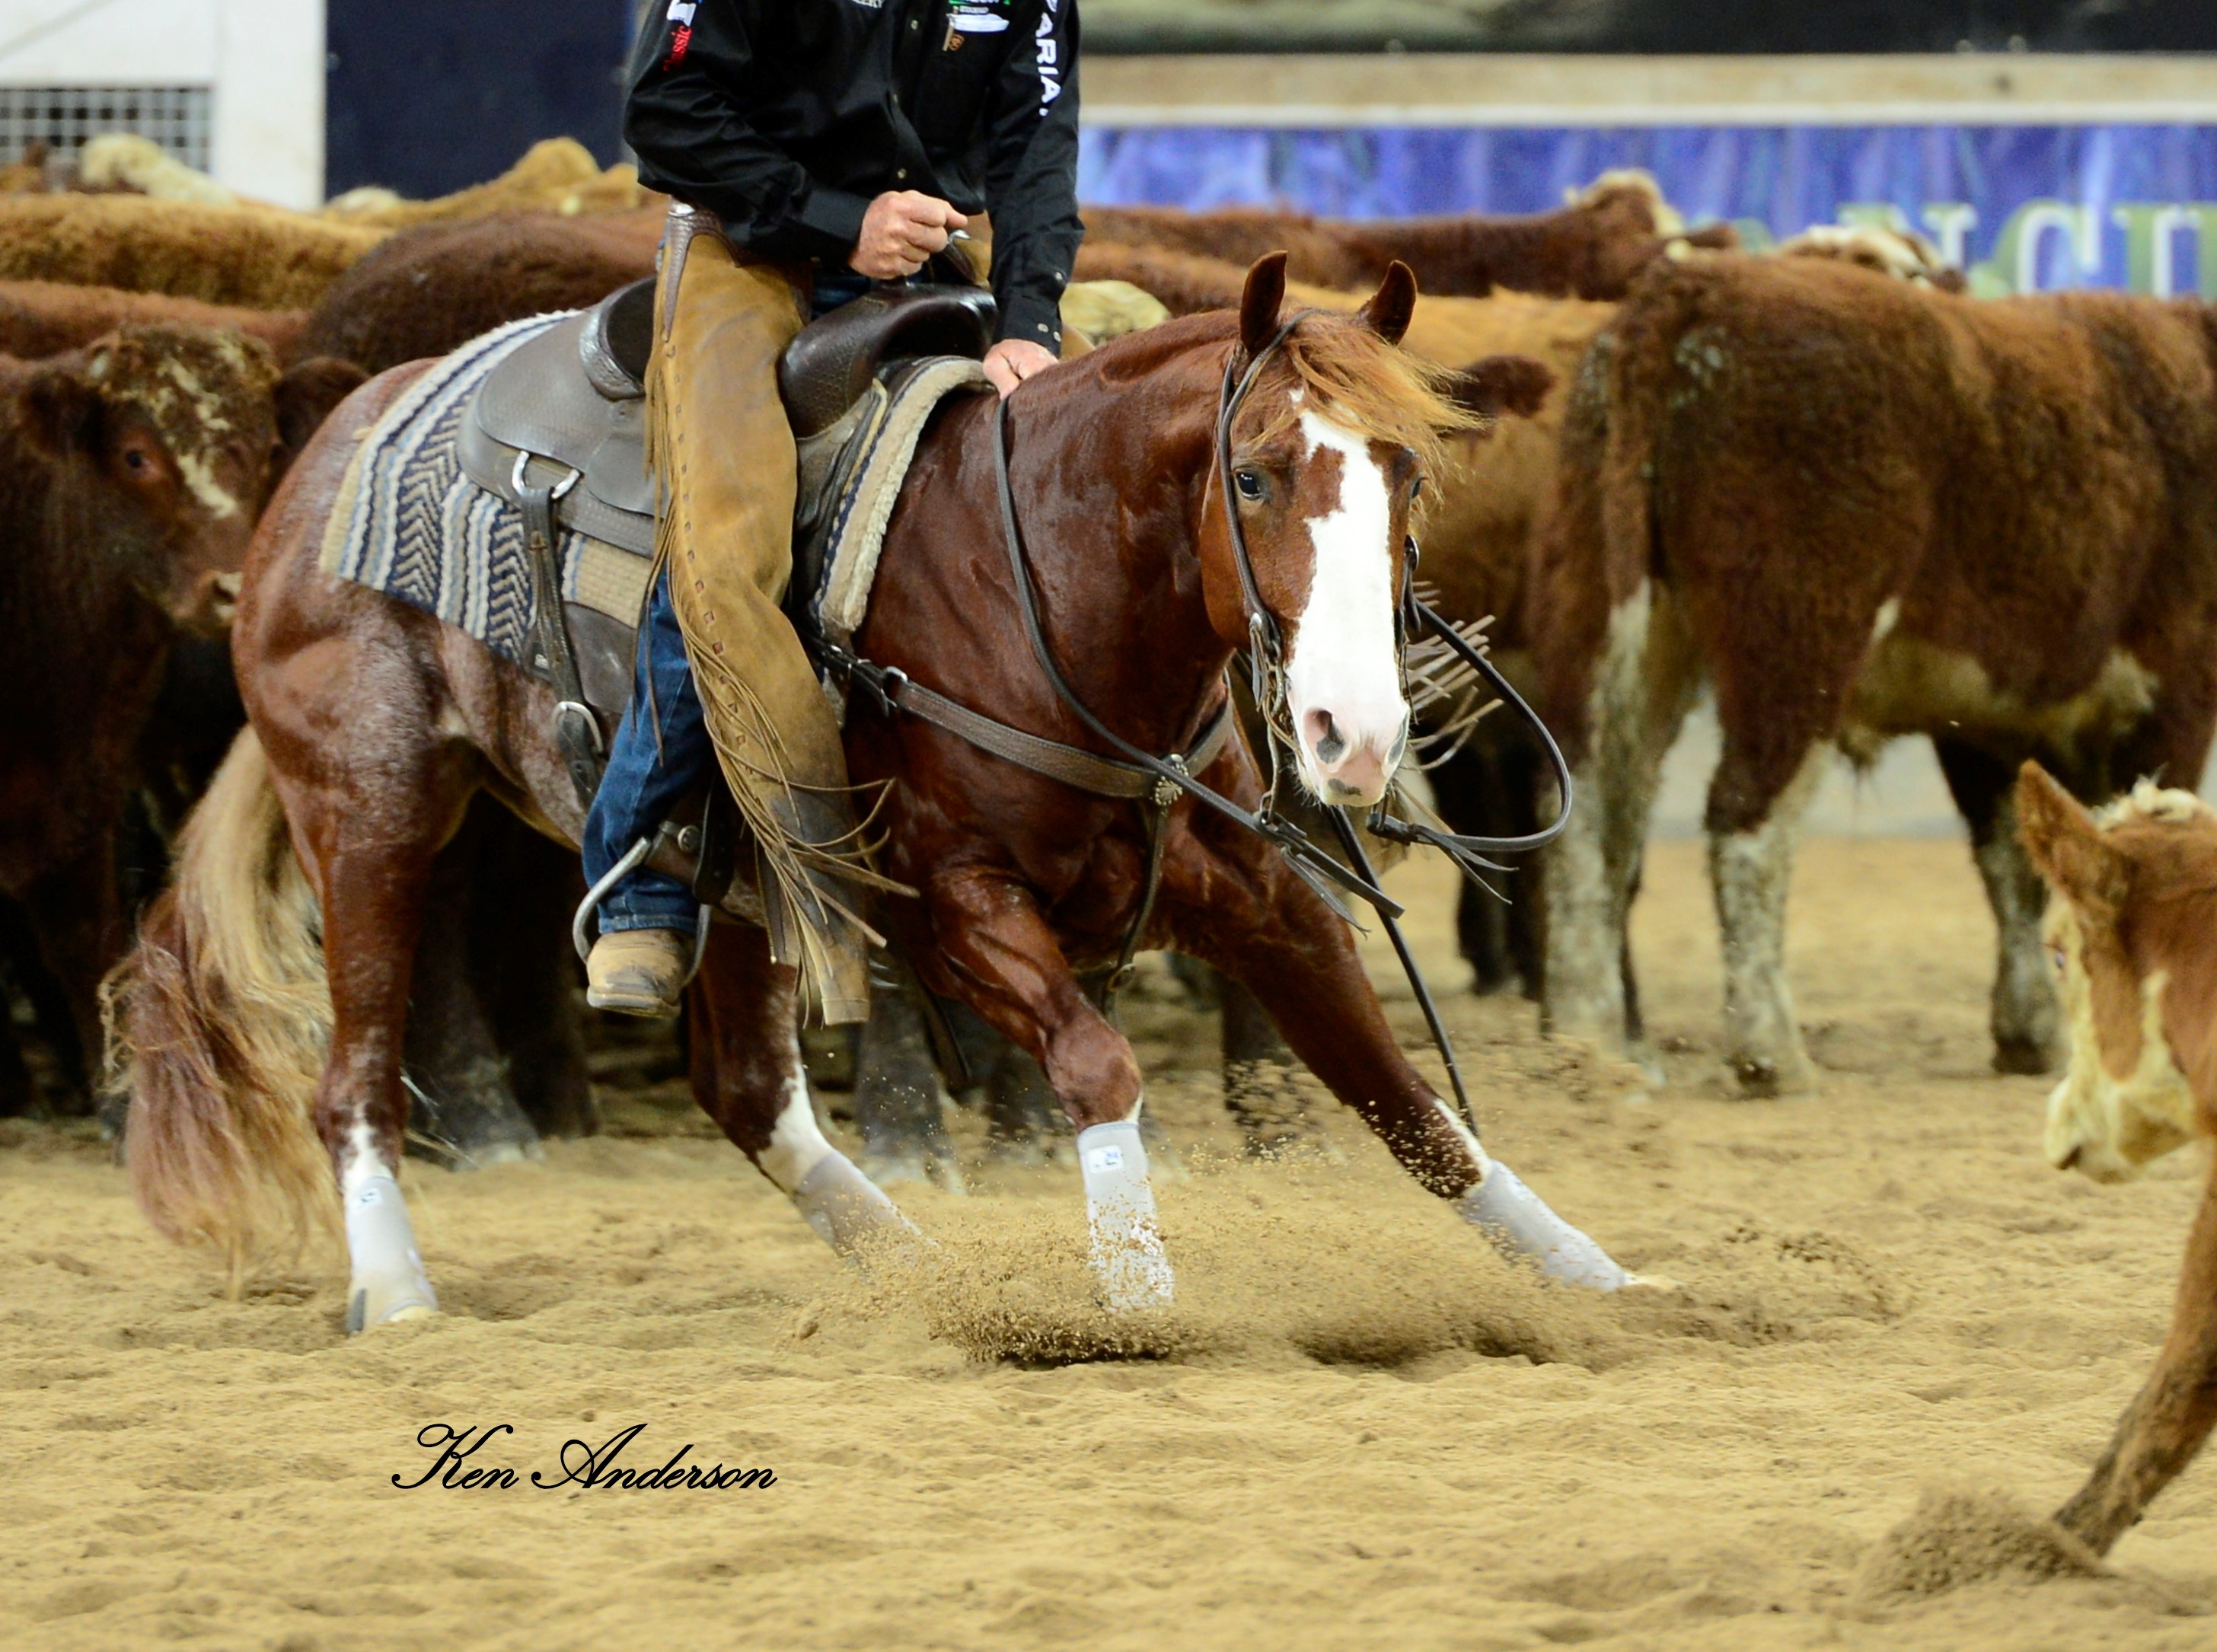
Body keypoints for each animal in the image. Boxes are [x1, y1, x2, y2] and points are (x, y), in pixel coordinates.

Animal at [114, 254, 1633, 1331]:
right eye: (1253, 474)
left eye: (1408, 471)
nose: (1353, 732)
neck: (1039, 593)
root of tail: (338, 438)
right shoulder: (948, 907)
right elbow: (1100, 1062)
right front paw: (1138, 1291)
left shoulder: (1260, 895)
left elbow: (1405, 1101)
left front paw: (1595, 1275)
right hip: (370, 805)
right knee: (356, 1078)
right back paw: (401, 1298)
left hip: (723, 878)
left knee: (745, 1094)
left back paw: (921, 1275)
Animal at [1533, 253, 2217, 1095]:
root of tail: (1694, 290)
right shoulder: (2174, 693)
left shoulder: (1991, 715)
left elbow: (2017, 864)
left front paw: (2030, 1033)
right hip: (1798, 639)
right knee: (1745, 818)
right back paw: (1770, 1053)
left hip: (1607, 610)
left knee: (1591, 811)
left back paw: (1591, 1042)